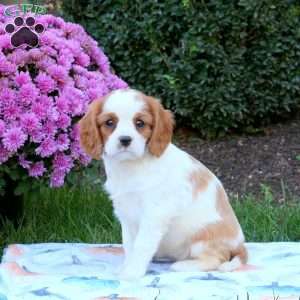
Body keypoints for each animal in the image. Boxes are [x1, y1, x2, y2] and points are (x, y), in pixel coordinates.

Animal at [78, 88, 247, 280]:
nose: (125, 140)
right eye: (109, 122)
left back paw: (183, 266)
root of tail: (240, 244)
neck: (131, 166)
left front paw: (131, 273)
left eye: (140, 123)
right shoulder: (126, 214)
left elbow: (141, 245)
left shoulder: (154, 215)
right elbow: (129, 244)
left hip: (203, 238)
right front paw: (126, 267)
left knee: (217, 259)